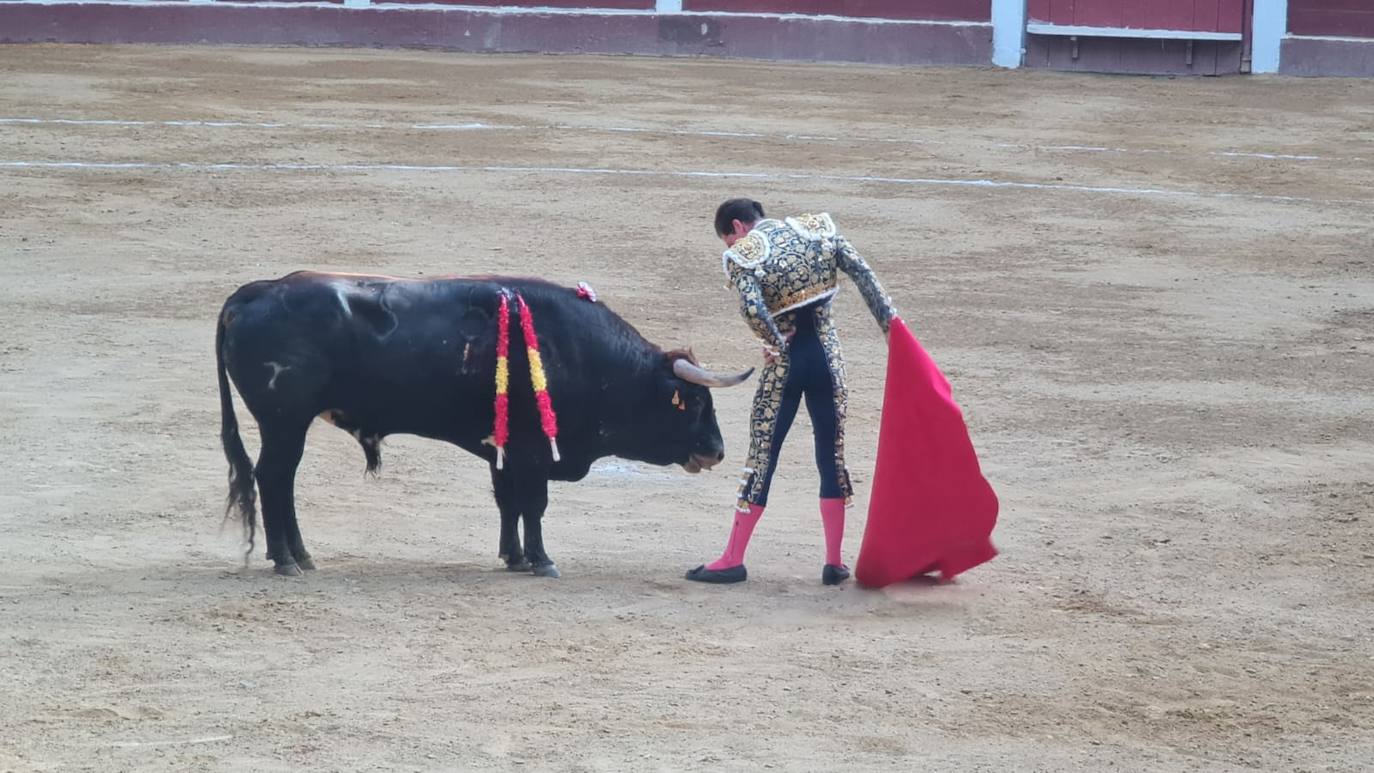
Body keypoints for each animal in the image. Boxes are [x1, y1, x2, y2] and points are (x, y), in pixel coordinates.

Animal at [215, 269, 752, 576]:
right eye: (694, 402)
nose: (717, 450)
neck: (584, 355)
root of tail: (253, 294)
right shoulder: (533, 449)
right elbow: (534, 504)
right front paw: (541, 561)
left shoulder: (505, 448)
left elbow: (508, 504)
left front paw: (513, 557)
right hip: (285, 421)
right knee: (275, 478)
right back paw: (287, 560)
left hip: (287, 424)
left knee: (279, 481)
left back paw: (301, 556)